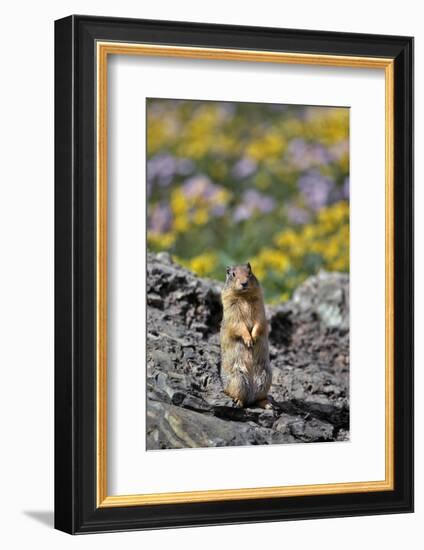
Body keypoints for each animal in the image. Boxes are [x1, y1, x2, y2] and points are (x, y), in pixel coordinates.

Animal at [219, 264, 272, 410]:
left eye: (250, 273)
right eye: (232, 274)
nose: (244, 283)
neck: (244, 296)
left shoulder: (259, 306)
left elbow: (259, 322)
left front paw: (254, 337)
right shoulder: (231, 308)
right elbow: (239, 324)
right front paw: (249, 340)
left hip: (265, 377)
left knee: (259, 398)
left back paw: (268, 404)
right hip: (238, 378)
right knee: (236, 394)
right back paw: (239, 402)